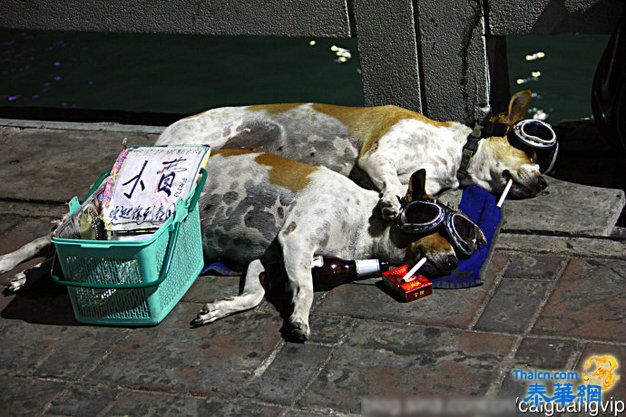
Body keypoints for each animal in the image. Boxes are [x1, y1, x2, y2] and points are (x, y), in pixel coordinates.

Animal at [0, 151, 482, 340]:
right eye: (439, 225)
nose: (457, 259)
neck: (362, 223)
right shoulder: (296, 241)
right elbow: (307, 290)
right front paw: (299, 321)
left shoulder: (266, 260)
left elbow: (252, 295)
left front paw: (219, 309)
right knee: (46, 243)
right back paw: (16, 265)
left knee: (53, 258)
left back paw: (26, 280)